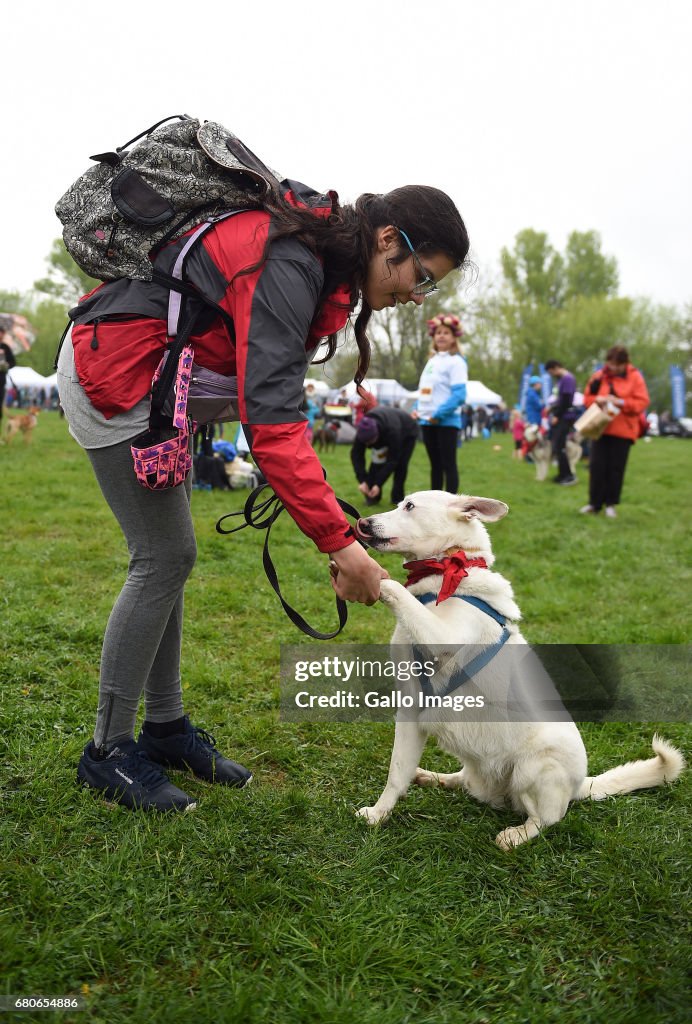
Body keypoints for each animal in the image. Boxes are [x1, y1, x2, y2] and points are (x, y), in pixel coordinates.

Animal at [354, 493, 683, 847]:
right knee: (463, 781)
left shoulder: (442, 636)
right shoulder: (411, 710)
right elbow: (396, 773)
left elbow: (395, 589)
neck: (447, 574)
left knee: (547, 818)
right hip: (478, 770)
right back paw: (434, 777)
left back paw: (514, 836)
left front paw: (368, 574)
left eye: (410, 506)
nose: (361, 523)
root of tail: (579, 785)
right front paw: (378, 815)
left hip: (534, 768)